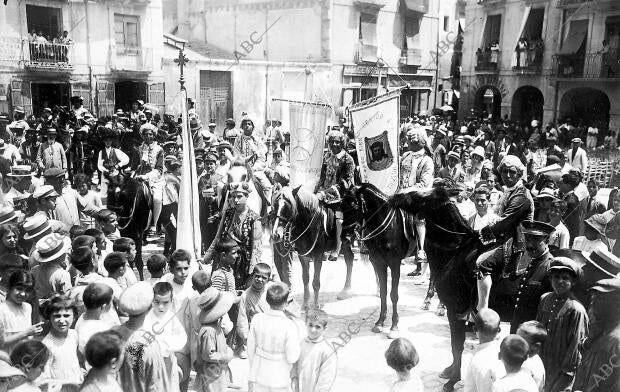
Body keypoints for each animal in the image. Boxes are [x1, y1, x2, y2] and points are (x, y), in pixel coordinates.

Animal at [340, 182, 416, 338]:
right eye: (342, 206)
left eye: (355, 206)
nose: (344, 237)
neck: (390, 226)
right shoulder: (380, 263)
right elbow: (383, 292)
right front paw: (380, 322)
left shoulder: (395, 264)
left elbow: (394, 294)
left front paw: (394, 326)